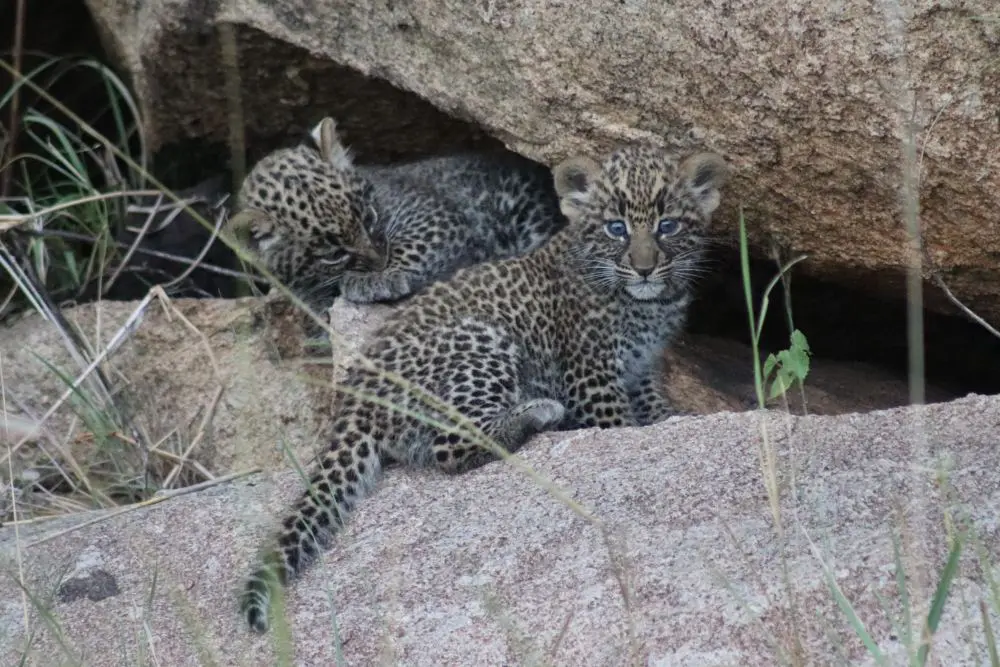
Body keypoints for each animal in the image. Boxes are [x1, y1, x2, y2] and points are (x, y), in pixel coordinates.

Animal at [225, 116, 566, 329]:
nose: (378, 262)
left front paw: (383, 277)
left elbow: (414, 243)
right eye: (333, 254)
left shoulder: (431, 211)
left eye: (369, 218)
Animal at [238, 141, 730, 634]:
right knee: (451, 448)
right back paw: (539, 413)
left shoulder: (641, 369)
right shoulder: (592, 376)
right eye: (616, 228)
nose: (645, 269)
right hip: (480, 341)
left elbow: (654, 409)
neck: (650, 305)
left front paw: (672, 419)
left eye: (667, 226)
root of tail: (354, 404)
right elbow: (618, 424)